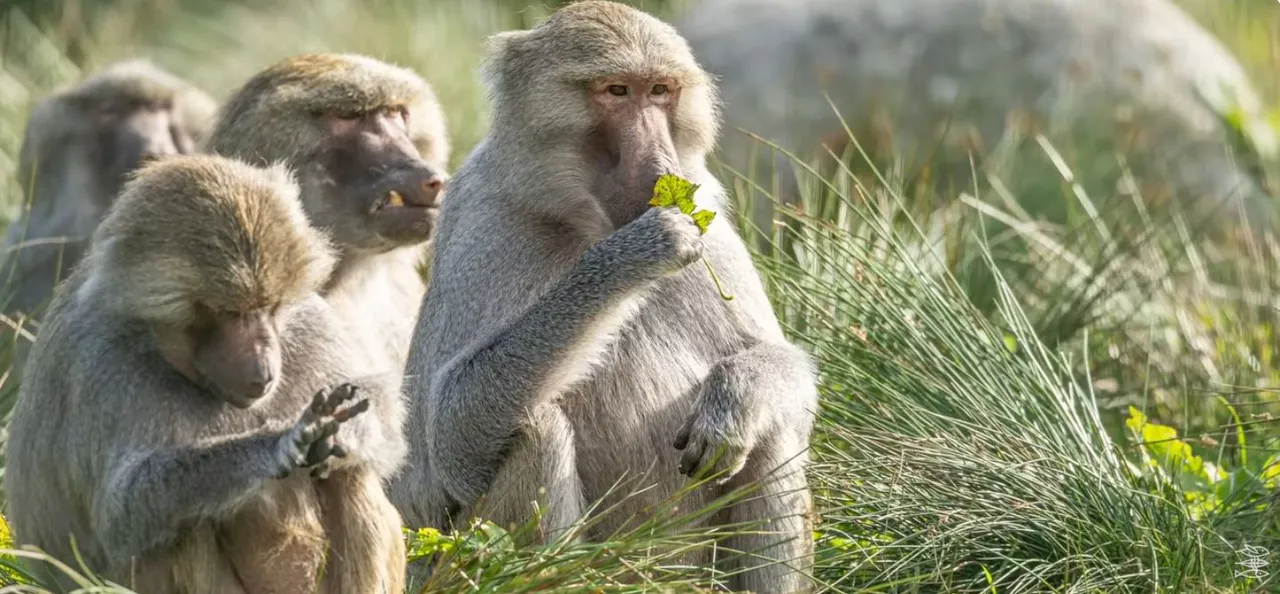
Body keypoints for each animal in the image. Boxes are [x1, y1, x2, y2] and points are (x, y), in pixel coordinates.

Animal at [3, 154, 408, 594]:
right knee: (180, 526)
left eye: (268, 306)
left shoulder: (307, 318)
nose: (265, 369)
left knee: (351, 473)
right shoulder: (99, 363)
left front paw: (343, 431)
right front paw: (279, 443)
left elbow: (382, 416)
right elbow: (124, 513)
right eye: (230, 313)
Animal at [389, 2, 819, 592]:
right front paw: (636, 253)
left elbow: (782, 379)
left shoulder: (713, 227)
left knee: (771, 430)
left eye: (659, 90)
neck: (582, 219)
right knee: (536, 431)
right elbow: (454, 436)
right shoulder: (484, 223)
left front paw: (735, 399)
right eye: (616, 91)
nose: (662, 167)